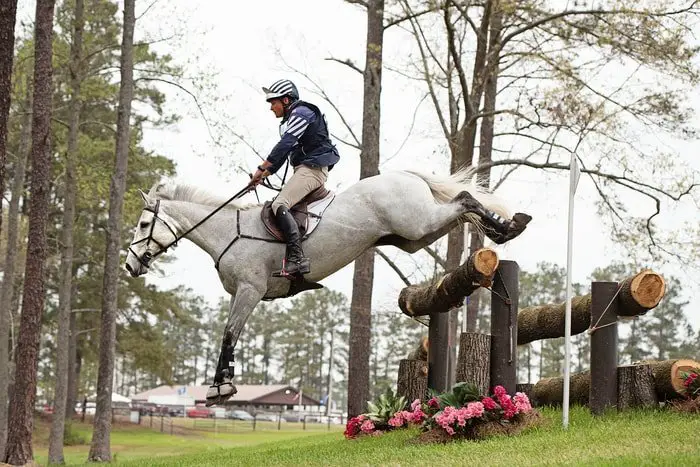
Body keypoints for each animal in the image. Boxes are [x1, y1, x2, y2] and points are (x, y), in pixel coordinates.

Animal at [126, 168, 532, 406]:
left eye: (144, 224)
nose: (130, 265)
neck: (227, 232)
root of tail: (406, 174)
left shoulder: (249, 291)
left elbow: (229, 333)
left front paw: (219, 389)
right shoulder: (244, 294)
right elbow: (229, 334)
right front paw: (221, 386)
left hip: (416, 225)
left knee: (463, 200)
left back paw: (508, 227)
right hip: (413, 237)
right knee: (460, 211)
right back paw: (505, 228)